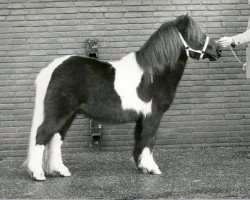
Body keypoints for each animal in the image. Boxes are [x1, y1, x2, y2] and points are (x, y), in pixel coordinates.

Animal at [25, 15, 221, 181]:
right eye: (194, 36)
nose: (218, 49)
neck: (152, 74)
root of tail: (53, 68)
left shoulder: (142, 117)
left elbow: (140, 140)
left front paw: (142, 166)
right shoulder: (152, 115)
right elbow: (149, 139)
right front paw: (152, 168)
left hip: (69, 114)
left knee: (56, 138)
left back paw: (61, 171)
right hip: (60, 112)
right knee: (42, 134)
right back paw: (38, 173)